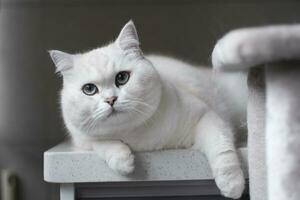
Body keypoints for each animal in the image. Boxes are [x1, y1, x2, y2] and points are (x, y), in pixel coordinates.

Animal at [48, 19, 246, 198]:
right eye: (89, 89)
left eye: (122, 78)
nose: (110, 99)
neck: (136, 136)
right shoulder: (82, 139)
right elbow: (102, 143)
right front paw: (123, 162)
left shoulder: (205, 116)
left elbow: (222, 149)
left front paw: (232, 185)